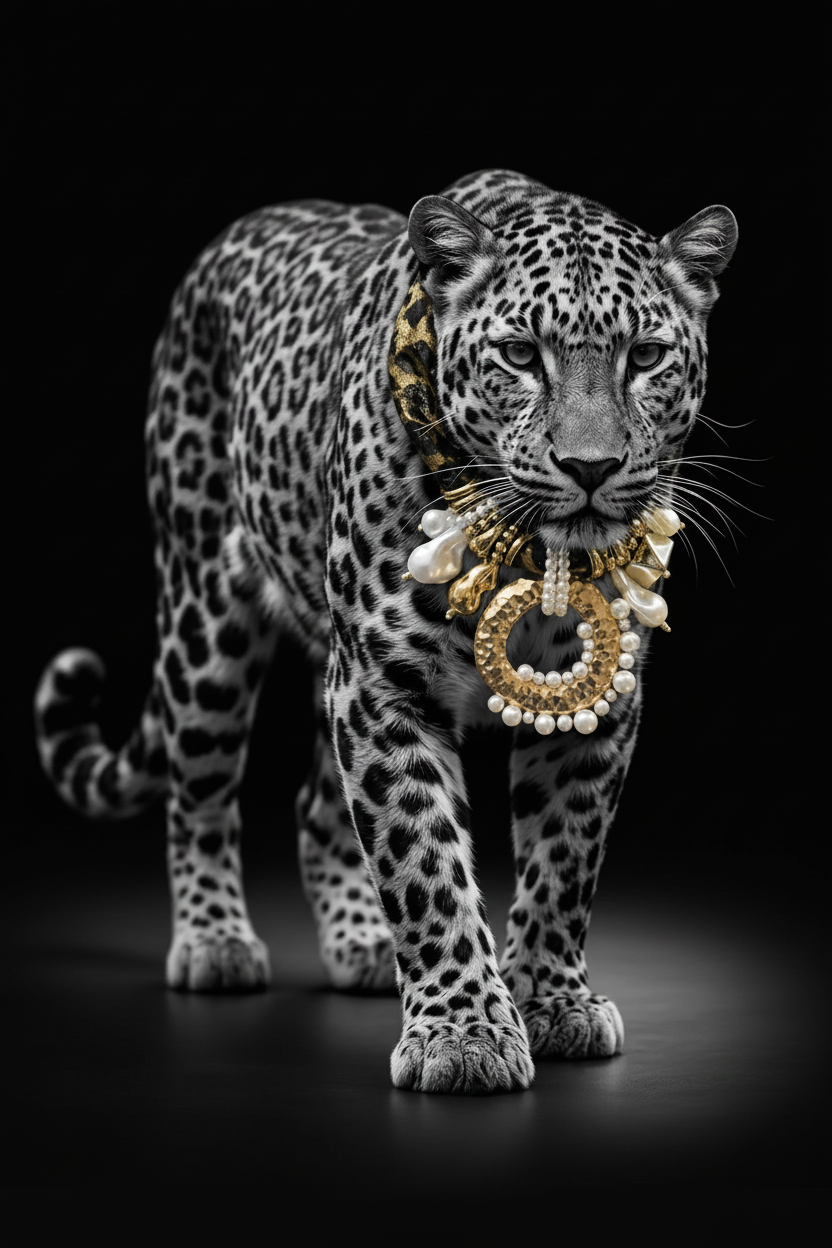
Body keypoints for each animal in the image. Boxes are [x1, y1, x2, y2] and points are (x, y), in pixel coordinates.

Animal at [34, 169, 737, 1094]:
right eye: (521, 356)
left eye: (647, 357)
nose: (591, 469)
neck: (531, 553)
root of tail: (232, 235)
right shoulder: (382, 686)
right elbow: (422, 857)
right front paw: (464, 1034)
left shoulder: (601, 701)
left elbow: (565, 857)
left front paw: (553, 1001)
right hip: (205, 621)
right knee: (201, 791)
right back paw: (216, 941)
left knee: (312, 804)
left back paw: (361, 945)